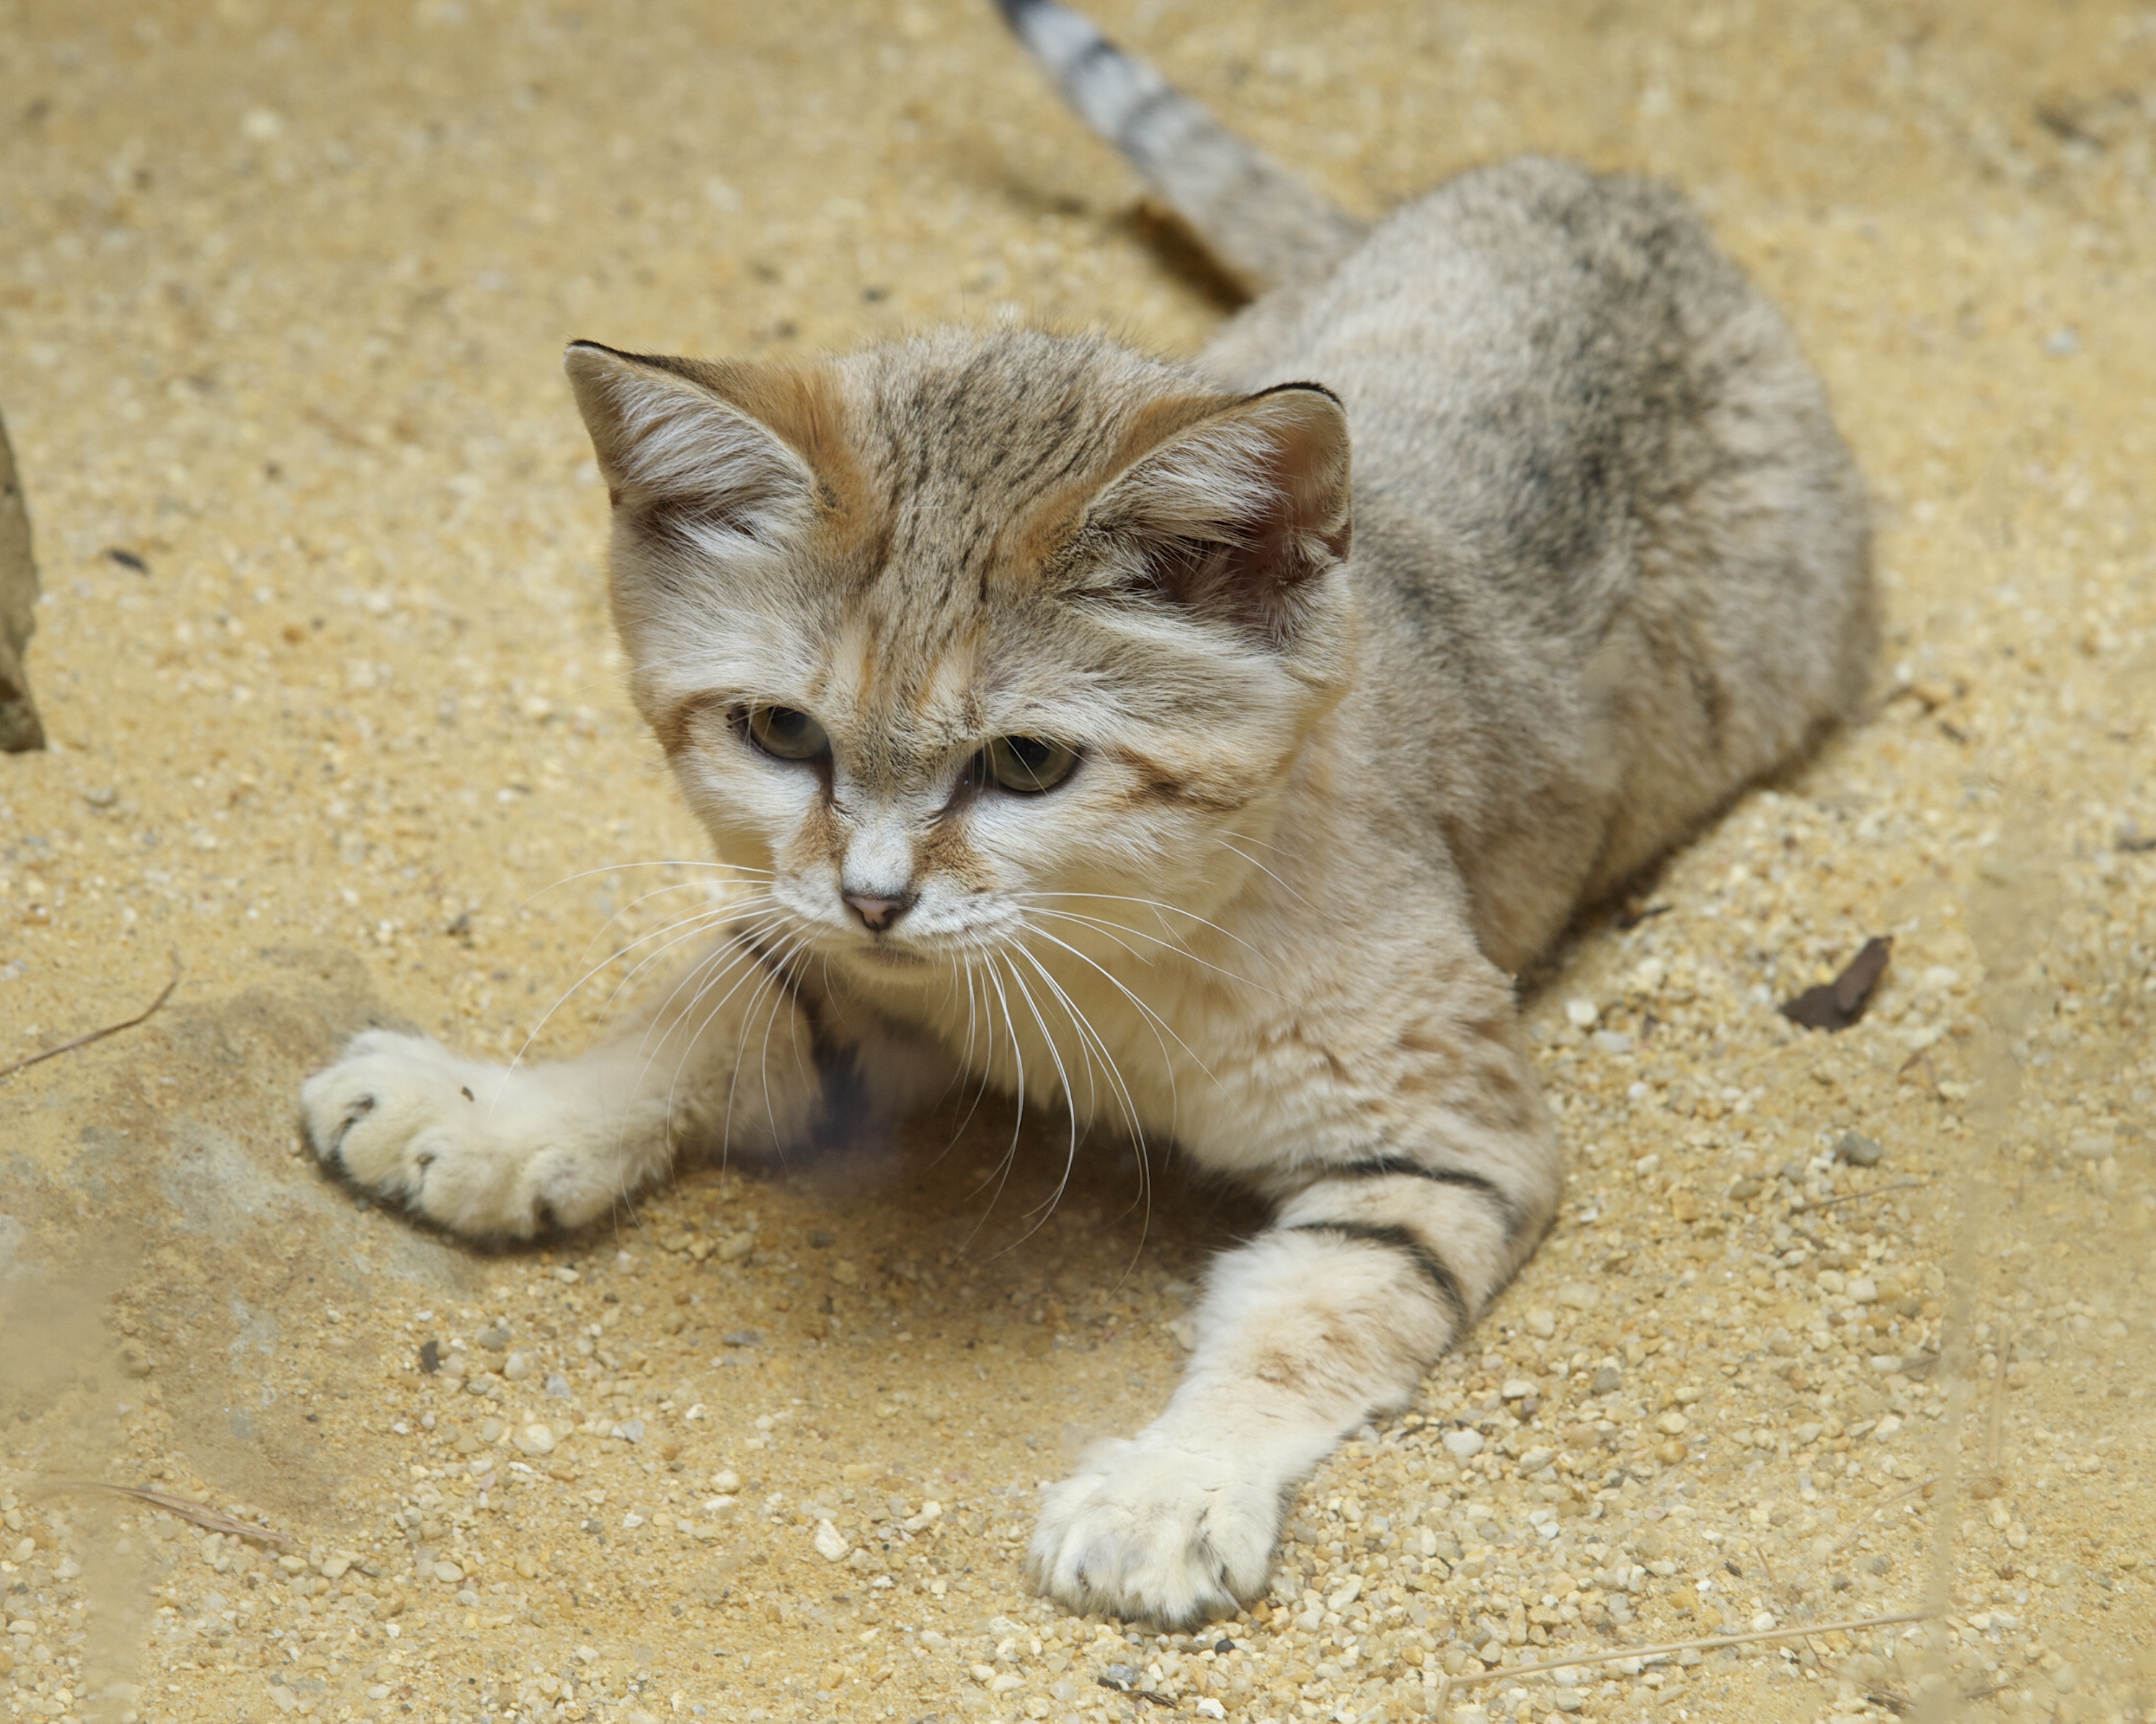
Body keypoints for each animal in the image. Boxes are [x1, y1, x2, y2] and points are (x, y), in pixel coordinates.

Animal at [299, 0, 1871, 1631]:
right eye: (781, 733)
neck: (1099, 965)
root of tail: (1617, 191)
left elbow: (1310, 1313)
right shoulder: (846, 965)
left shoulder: (1445, 1142)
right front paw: (495, 1109)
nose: (875, 895)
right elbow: (699, 1014)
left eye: (1030, 764)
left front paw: (1175, 1484)